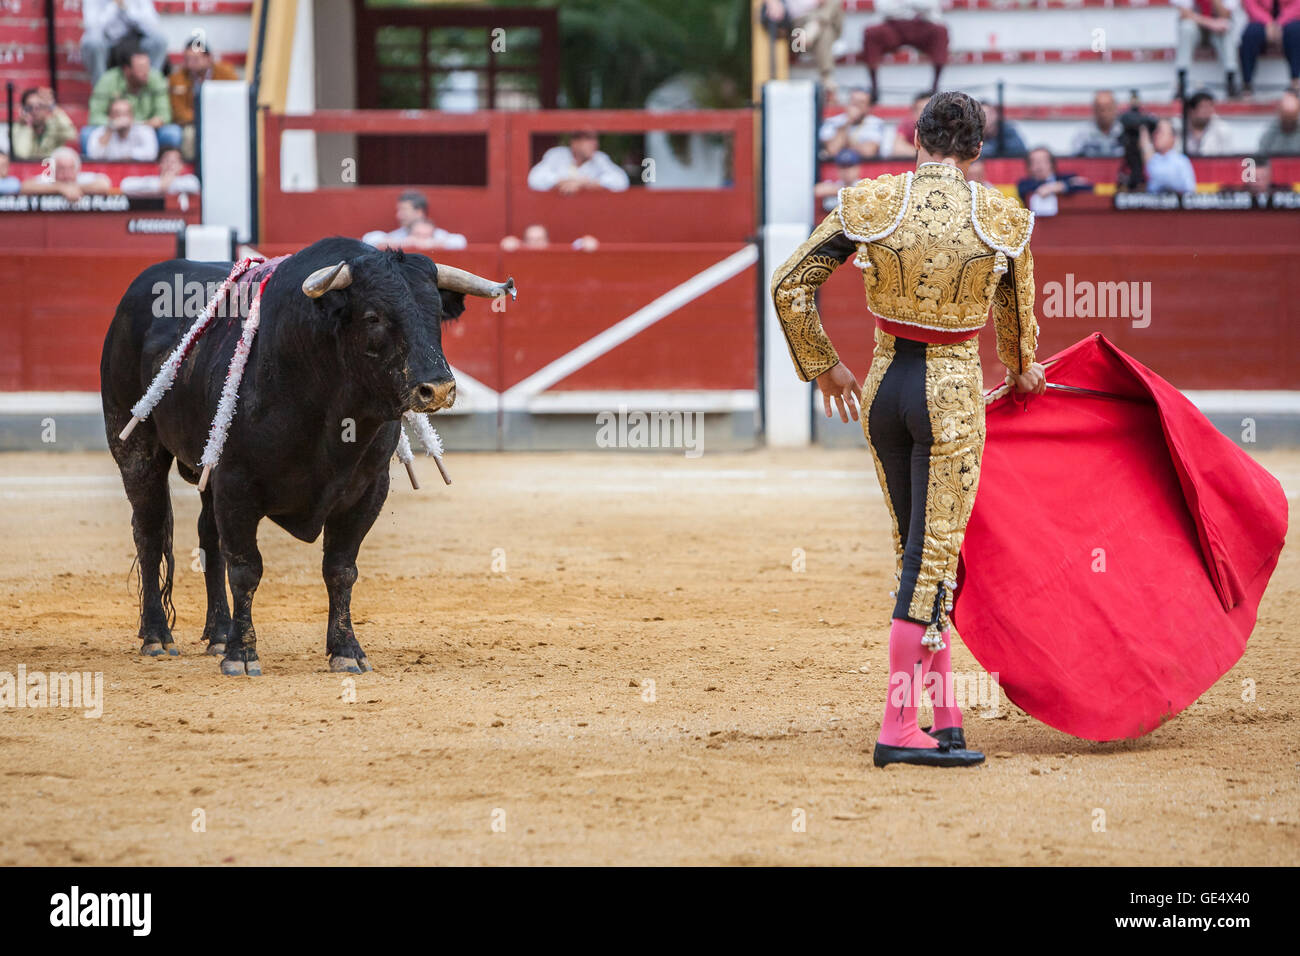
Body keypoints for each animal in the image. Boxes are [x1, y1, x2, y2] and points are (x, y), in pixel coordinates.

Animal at [98, 238, 514, 671]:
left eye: (436, 313)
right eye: (373, 316)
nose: (438, 389)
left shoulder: (368, 489)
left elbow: (341, 569)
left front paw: (346, 651)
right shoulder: (237, 483)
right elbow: (246, 568)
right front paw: (242, 655)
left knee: (208, 538)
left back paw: (218, 633)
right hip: (135, 447)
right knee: (149, 532)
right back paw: (157, 636)